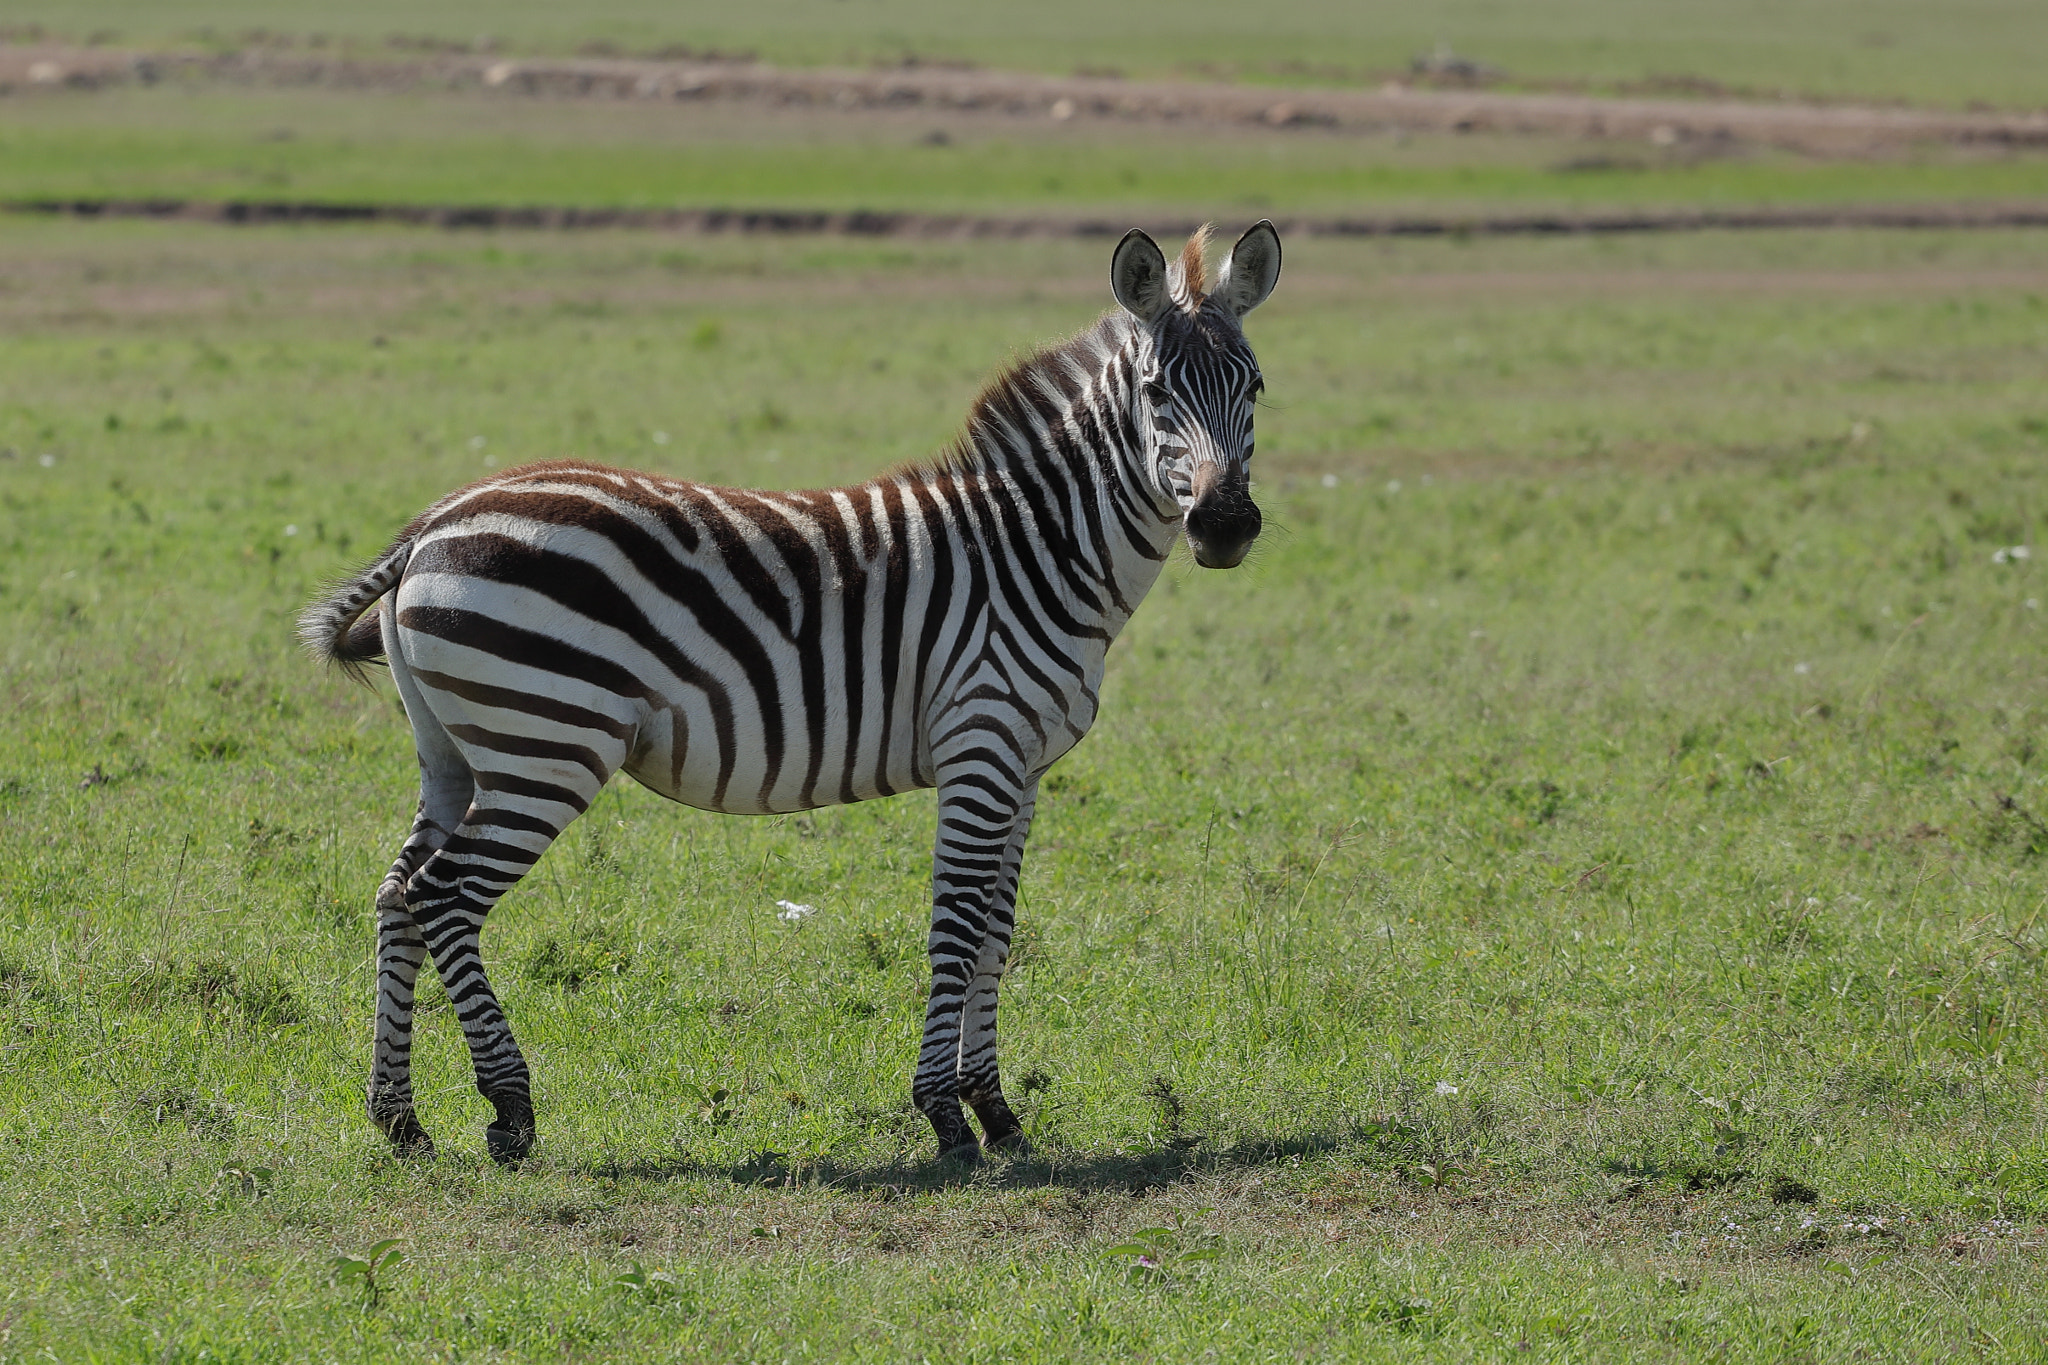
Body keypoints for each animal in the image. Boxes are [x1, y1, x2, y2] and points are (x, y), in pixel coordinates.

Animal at [300, 221, 1281, 1163]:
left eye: (1257, 388)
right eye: (1156, 393)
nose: (1225, 526)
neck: (1038, 550)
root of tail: (435, 522)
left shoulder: (1024, 766)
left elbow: (998, 932)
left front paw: (998, 1112)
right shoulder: (981, 743)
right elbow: (958, 923)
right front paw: (946, 1115)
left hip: (457, 753)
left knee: (398, 894)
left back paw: (399, 1119)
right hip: (549, 744)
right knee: (445, 896)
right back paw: (509, 1109)